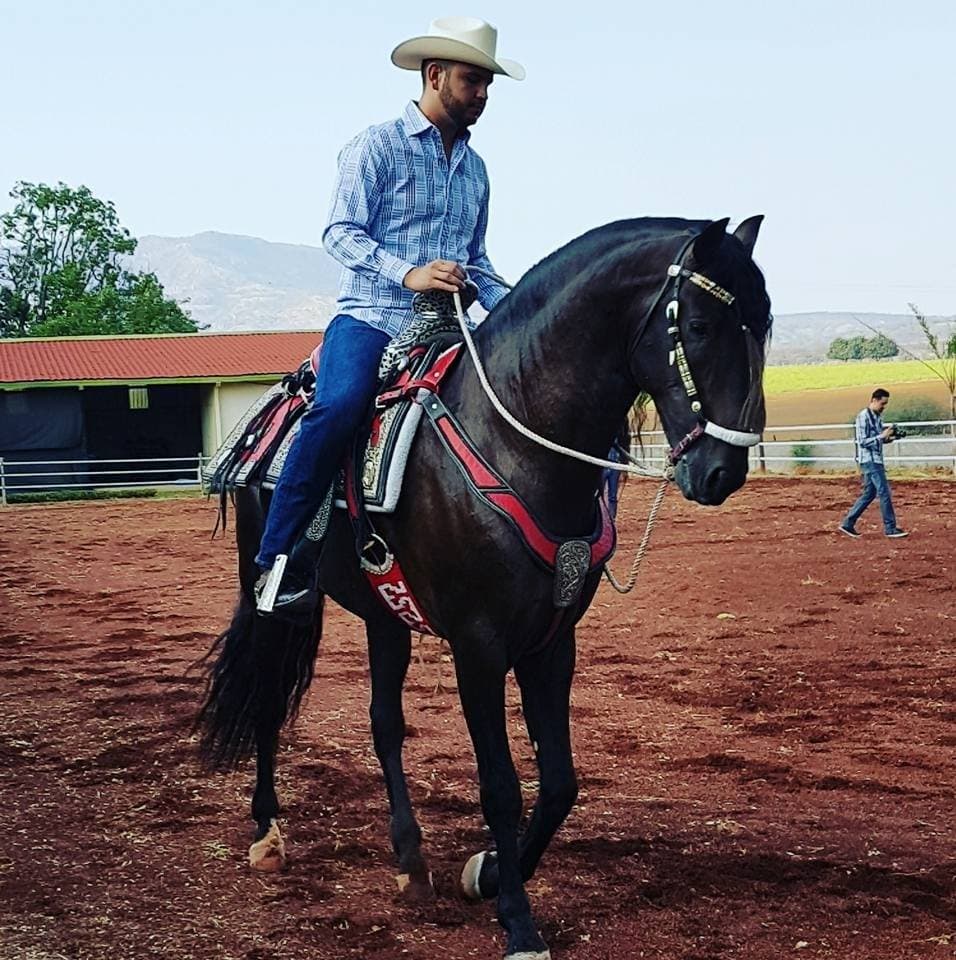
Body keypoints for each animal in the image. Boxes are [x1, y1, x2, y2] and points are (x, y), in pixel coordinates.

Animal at [197, 216, 772, 960]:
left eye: (763, 323)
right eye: (698, 325)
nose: (723, 471)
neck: (515, 442)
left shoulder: (552, 643)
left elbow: (559, 782)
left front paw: (491, 872)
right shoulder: (479, 646)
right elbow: (500, 786)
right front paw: (520, 923)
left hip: (385, 615)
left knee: (384, 724)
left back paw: (411, 861)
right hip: (273, 593)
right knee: (267, 695)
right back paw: (267, 831)